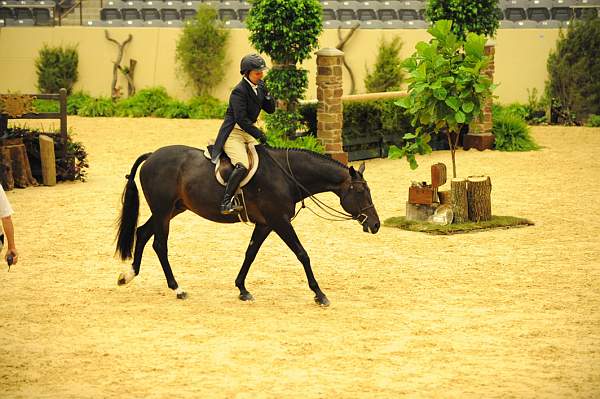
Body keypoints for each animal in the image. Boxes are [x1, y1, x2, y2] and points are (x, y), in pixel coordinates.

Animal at [115, 145, 380, 306]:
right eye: (359, 192)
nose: (376, 224)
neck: (285, 176)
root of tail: (152, 155)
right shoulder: (279, 221)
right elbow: (302, 254)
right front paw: (319, 294)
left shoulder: (265, 224)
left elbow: (250, 253)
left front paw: (242, 288)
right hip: (163, 210)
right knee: (159, 244)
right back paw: (177, 288)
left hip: (172, 210)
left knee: (143, 233)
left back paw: (129, 274)